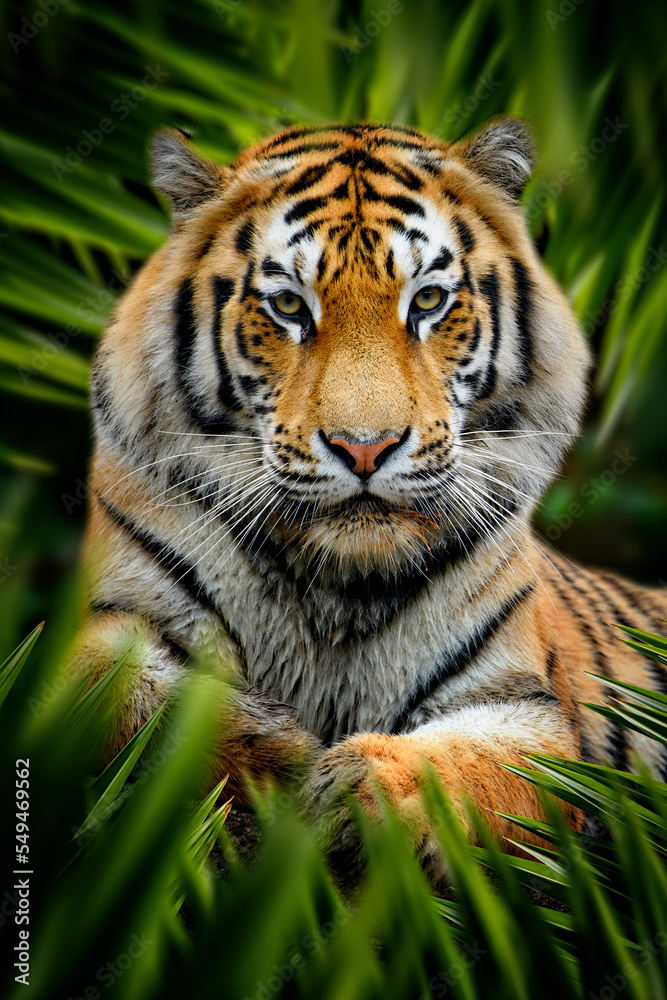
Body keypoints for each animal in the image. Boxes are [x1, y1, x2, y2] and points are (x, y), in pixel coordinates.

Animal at [70, 117, 667, 881]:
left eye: (428, 301)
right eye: (289, 306)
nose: (364, 448)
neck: (336, 584)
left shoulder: (519, 702)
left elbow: (476, 764)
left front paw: (366, 788)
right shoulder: (102, 618)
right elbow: (115, 685)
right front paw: (275, 756)